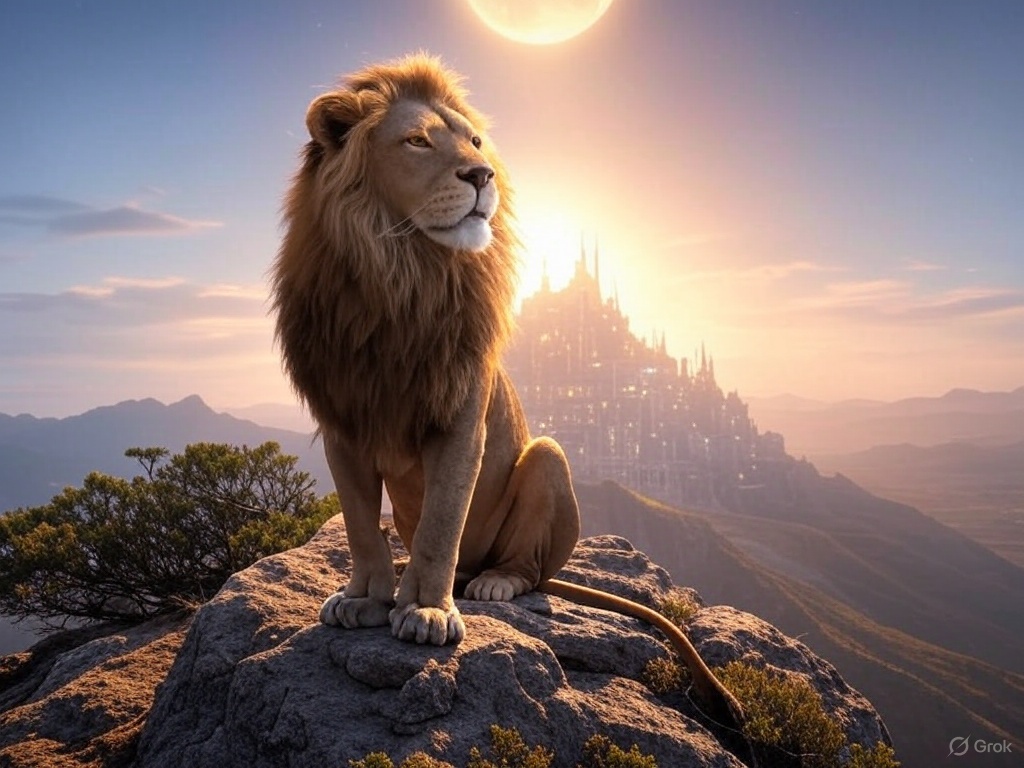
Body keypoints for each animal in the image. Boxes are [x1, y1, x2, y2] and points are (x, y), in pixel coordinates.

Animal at [271, 54, 742, 727]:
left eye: (474, 142)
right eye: (416, 141)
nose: (482, 174)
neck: (398, 281)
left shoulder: (461, 420)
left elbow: (442, 523)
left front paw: (427, 610)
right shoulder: (343, 425)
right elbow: (361, 526)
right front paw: (365, 598)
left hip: (546, 459)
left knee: (526, 569)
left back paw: (489, 585)